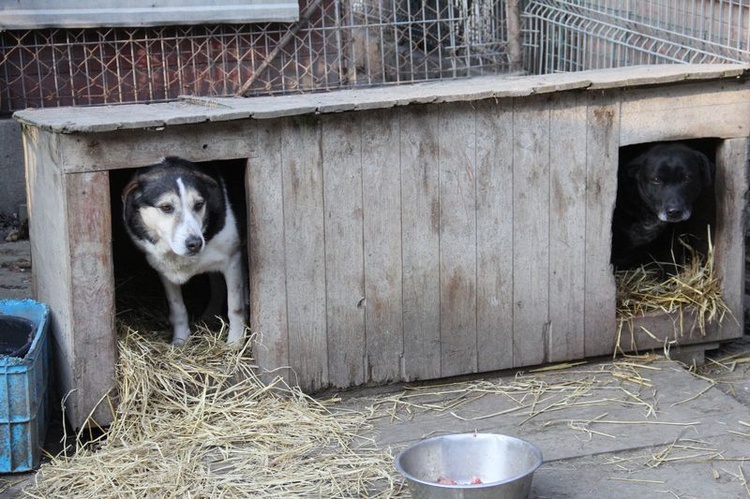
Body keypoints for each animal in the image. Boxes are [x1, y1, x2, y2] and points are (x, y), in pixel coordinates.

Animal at [123, 158, 245, 346]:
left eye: (199, 204)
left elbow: (235, 307)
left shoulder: (232, 259)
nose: (195, 243)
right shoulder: (163, 269)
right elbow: (177, 308)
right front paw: (180, 340)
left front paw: (235, 343)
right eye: (166, 207)